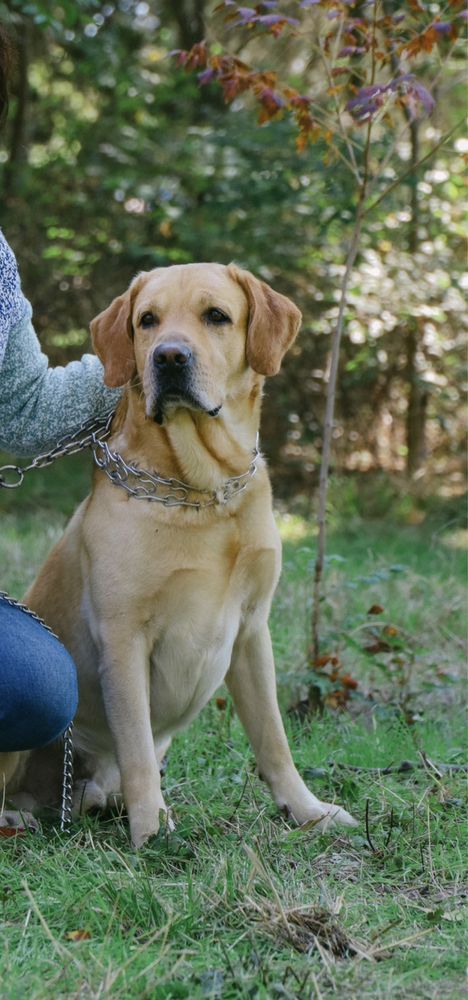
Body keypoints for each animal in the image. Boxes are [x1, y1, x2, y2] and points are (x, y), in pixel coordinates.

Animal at [5, 264, 356, 844]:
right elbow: (138, 751)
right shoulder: (124, 638)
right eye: (147, 320)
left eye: (216, 315)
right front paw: (151, 832)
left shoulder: (251, 631)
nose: (169, 357)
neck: (204, 493)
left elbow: (274, 739)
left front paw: (306, 810)